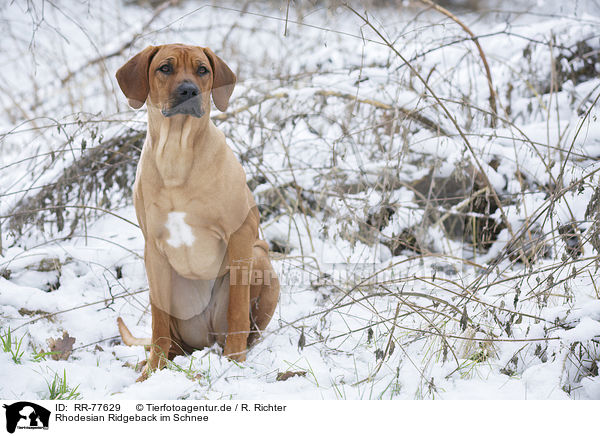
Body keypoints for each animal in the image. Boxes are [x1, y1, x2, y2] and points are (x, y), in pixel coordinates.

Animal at [114, 42, 278, 380]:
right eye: (165, 68)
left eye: (202, 70)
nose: (189, 90)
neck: (177, 156)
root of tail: (206, 341)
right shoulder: (153, 250)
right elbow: (158, 323)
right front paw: (152, 373)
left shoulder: (240, 236)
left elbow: (238, 310)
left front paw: (235, 364)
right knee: (168, 336)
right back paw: (152, 360)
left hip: (260, 260)